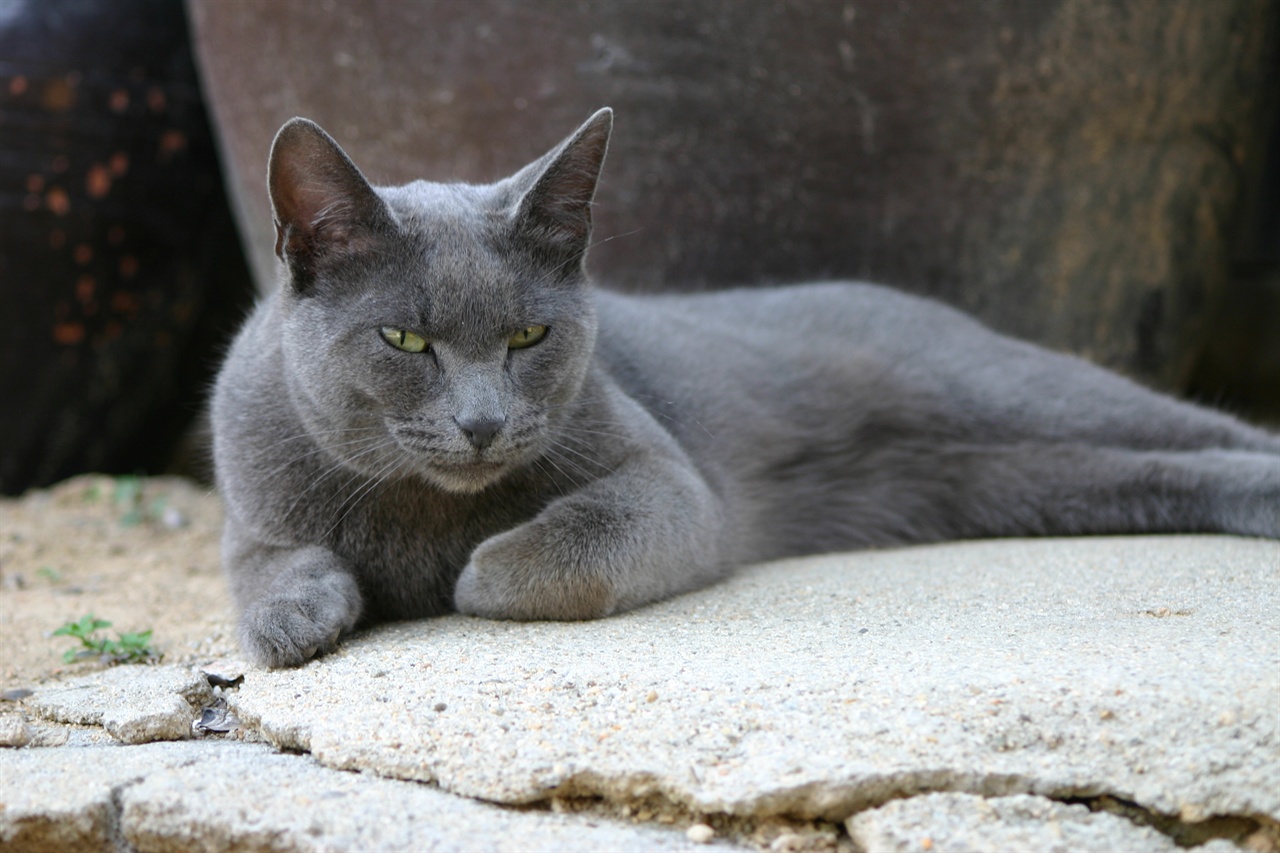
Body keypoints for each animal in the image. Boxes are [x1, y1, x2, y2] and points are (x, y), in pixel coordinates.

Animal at [215, 106, 1280, 666]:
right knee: (1154, 470)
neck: (421, 509)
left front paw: (472, 572)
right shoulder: (251, 511)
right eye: (404, 338)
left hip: (1007, 387)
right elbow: (260, 573)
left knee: (1196, 427)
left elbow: (529, 560)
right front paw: (295, 615)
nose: (482, 423)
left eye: (529, 335)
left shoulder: (674, 485)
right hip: (1004, 480)